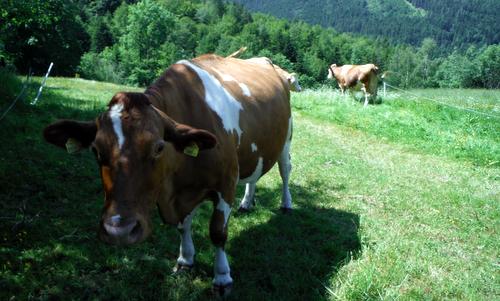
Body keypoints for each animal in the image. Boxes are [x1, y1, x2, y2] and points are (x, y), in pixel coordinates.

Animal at [44, 53, 292, 296]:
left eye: (159, 147)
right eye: (96, 150)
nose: (119, 231)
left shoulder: (226, 183)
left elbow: (218, 232)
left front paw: (222, 277)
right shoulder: (180, 193)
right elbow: (183, 226)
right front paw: (185, 260)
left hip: (286, 139)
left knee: (285, 171)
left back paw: (286, 204)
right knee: (254, 176)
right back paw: (247, 203)